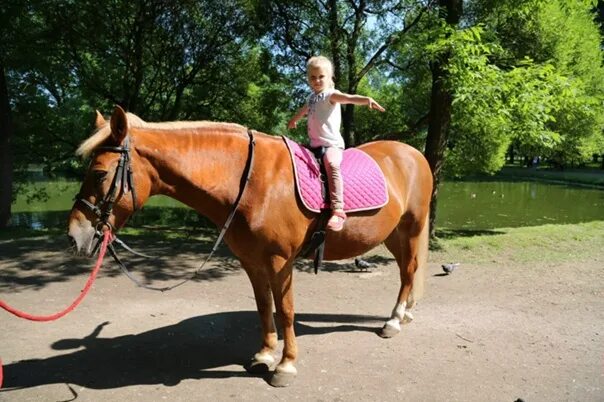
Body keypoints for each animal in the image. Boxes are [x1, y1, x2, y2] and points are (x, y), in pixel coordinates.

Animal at [67, 106, 434, 386]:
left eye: (100, 174)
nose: (75, 235)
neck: (252, 181)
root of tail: (413, 153)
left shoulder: (280, 262)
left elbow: (285, 311)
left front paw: (285, 365)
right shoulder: (252, 261)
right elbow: (263, 307)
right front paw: (264, 355)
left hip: (412, 228)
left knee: (410, 270)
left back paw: (394, 321)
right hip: (393, 234)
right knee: (407, 271)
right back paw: (404, 314)